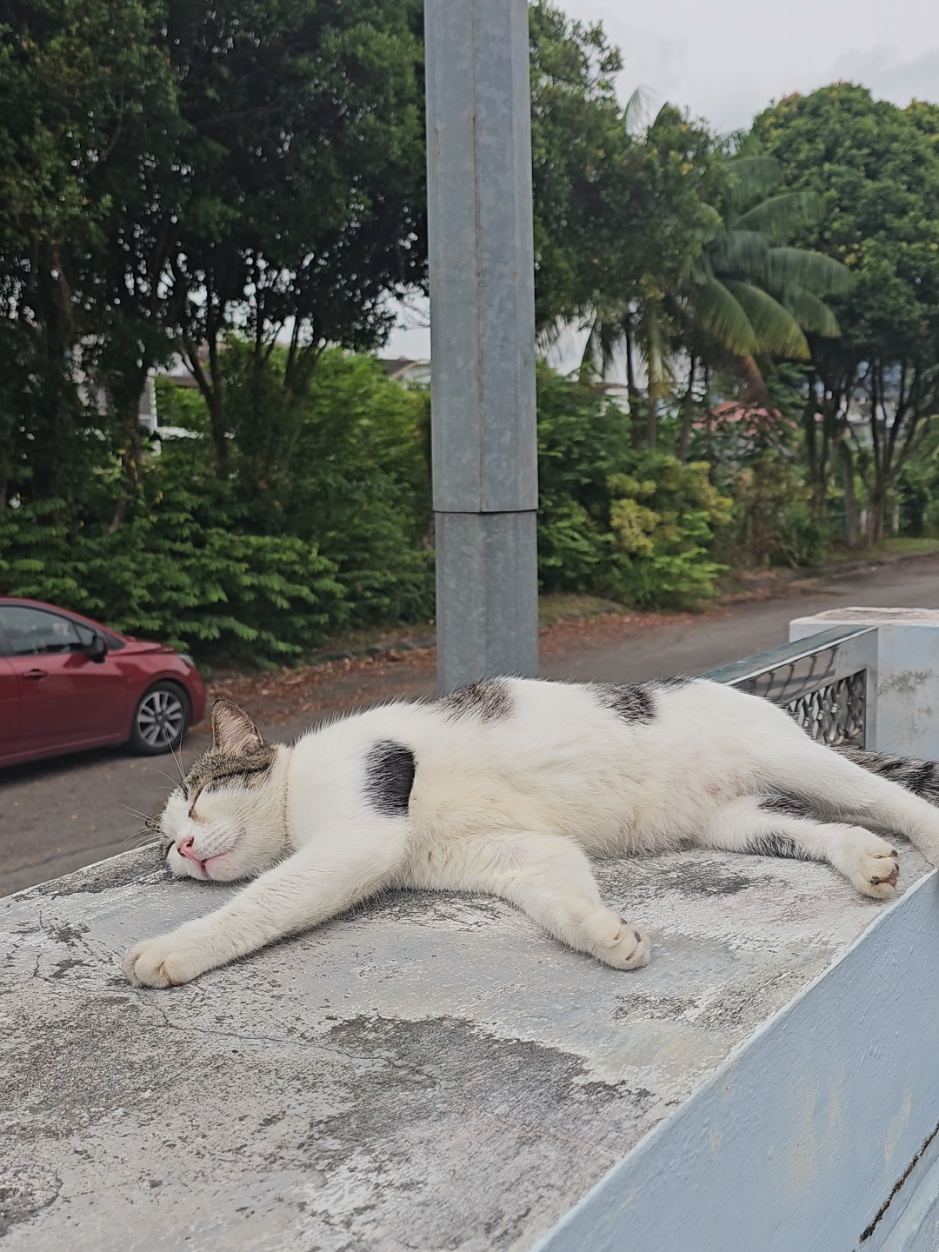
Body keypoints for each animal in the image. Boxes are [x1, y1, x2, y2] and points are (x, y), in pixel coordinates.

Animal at [121, 676, 939, 986]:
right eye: (164, 848)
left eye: (198, 796)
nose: (183, 850)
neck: (296, 805)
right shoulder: (507, 851)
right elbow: (557, 894)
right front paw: (606, 935)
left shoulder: (362, 826)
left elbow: (263, 901)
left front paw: (170, 949)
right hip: (738, 820)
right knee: (818, 827)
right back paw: (864, 860)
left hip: (795, 758)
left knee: (889, 795)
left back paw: (922, 832)